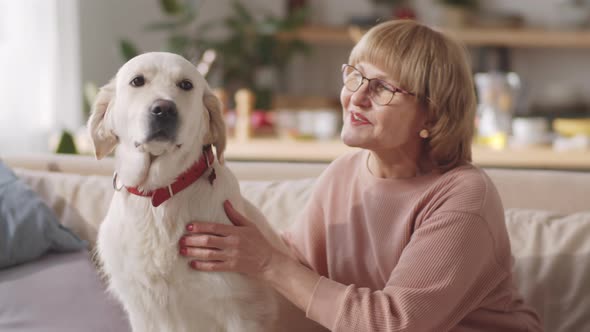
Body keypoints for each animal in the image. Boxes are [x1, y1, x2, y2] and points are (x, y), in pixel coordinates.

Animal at [89, 52, 288, 332]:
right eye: (137, 81)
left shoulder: (241, 311)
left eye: (186, 85)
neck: (158, 197)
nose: (163, 109)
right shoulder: (142, 311)